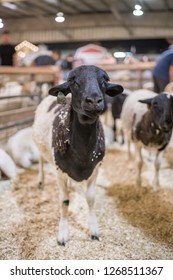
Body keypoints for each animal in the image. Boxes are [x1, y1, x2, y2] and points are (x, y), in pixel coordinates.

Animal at [32, 64, 123, 244]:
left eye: (105, 80)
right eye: (72, 80)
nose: (94, 101)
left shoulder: (96, 168)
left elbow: (91, 198)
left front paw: (94, 230)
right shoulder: (59, 171)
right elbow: (64, 201)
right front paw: (62, 234)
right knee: (40, 161)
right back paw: (40, 181)